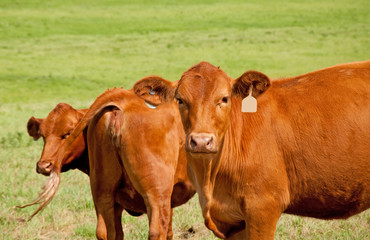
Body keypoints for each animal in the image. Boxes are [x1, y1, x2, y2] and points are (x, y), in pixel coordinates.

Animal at [134, 61, 370, 239]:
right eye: (180, 100)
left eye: (224, 98)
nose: (201, 141)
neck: (211, 179)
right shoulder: (233, 222)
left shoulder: (263, 209)